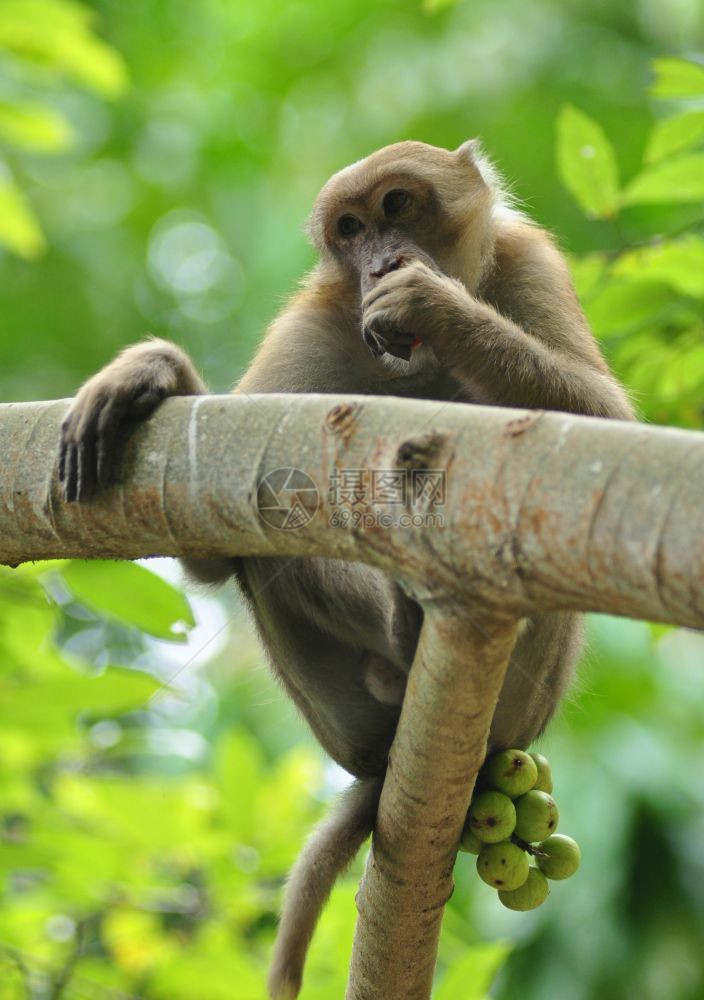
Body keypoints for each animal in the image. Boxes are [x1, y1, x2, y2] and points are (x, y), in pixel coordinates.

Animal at [57, 137, 636, 996]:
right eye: (350, 228)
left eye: (398, 206)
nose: (379, 259)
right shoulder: (313, 324)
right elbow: (215, 552)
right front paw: (158, 374)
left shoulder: (528, 261)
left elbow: (604, 433)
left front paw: (437, 306)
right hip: (342, 716)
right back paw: (402, 635)